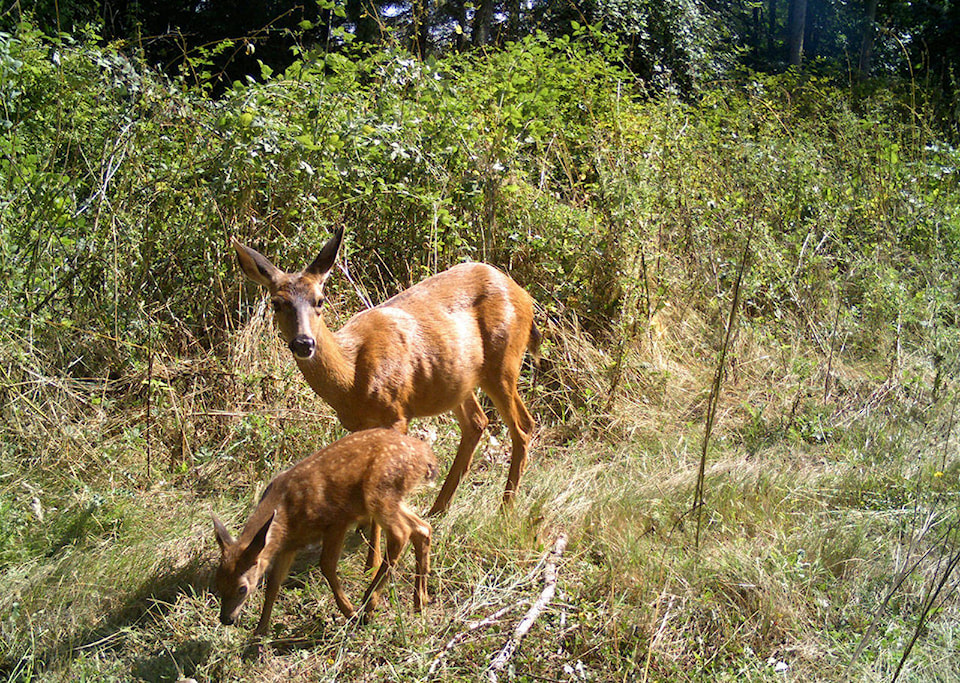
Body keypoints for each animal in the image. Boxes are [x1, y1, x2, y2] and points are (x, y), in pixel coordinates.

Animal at [229, 227, 536, 516]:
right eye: (276, 303)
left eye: (320, 300)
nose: (304, 343)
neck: (351, 380)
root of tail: (524, 294)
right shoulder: (358, 425)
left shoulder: (396, 412)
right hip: (458, 378)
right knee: (477, 422)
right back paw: (439, 509)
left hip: (503, 363)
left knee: (523, 425)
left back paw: (505, 508)